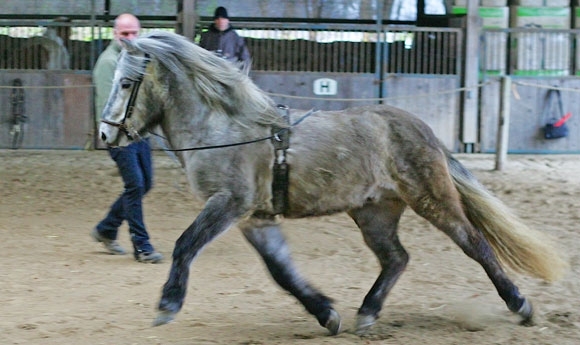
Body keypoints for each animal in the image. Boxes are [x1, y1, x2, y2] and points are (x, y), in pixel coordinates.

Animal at [99, 30, 568, 334]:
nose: (106, 135)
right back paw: (367, 313)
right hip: (374, 211)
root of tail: (422, 130)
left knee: (476, 244)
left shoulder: (229, 203)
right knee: (396, 258)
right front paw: (326, 313)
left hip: (432, 199)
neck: (224, 127)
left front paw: (167, 305)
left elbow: (185, 245)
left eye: (126, 83)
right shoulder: (255, 218)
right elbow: (281, 271)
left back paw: (521, 306)